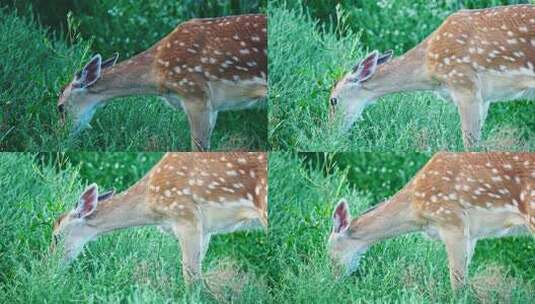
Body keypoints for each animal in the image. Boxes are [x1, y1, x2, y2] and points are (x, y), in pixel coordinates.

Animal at [328, 3, 535, 148]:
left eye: (333, 100)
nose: (330, 134)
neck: (429, 71)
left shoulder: (465, 85)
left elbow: (470, 145)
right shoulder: (485, 97)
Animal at [328, 152, 532, 290]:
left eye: (329, 253)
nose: (332, 281)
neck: (415, 212)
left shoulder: (453, 222)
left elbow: (457, 285)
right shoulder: (472, 235)